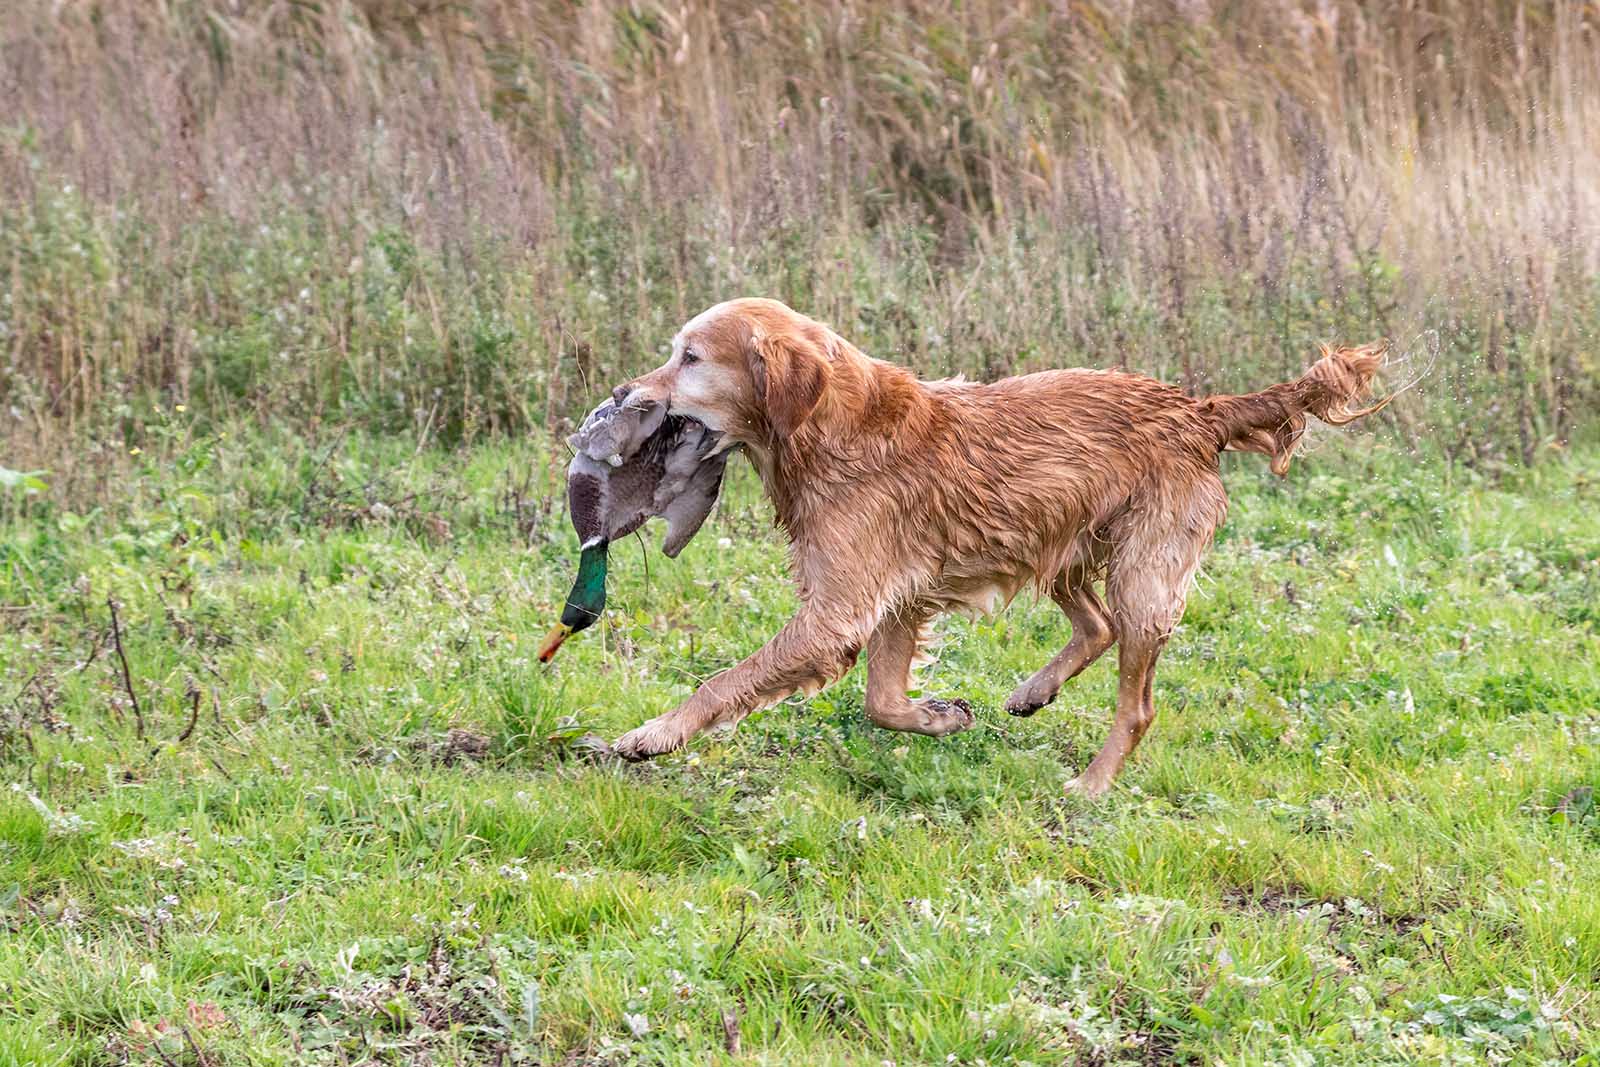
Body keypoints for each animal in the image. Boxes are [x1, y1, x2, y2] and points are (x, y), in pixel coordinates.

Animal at [604, 295, 1382, 796]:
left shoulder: (836, 614)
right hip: (1058, 545)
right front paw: (938, 717)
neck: (834, 425)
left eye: (689, 357)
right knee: (1095, 626)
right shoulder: (898, 601)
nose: (621, 391)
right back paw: (1035, 690)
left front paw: (653, 734)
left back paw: (1090, 785)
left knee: (1135, 703)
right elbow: (881, 703)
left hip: (1142, 577)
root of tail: (1198, 408)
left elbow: (724, 682)